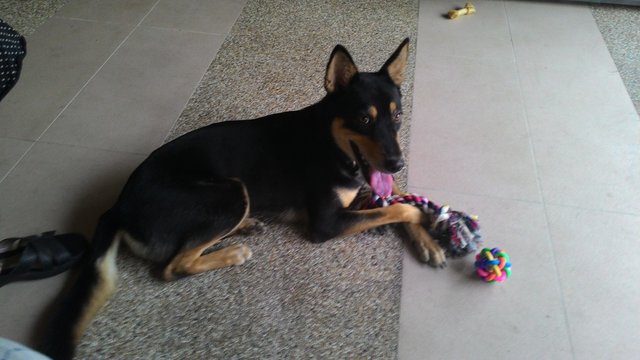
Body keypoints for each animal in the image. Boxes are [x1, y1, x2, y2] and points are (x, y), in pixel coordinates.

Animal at [43, 38, 444, 358]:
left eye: (398, 116)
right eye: (363, 120)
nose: (397, 161)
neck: (331, 141)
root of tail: (118, 205)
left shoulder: (373, 182)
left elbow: (400, 197)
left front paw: (430, 238)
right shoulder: (327, 223)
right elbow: (401, 209)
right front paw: (428, 224)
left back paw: (245, 227)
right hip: (231, 191)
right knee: (174, 266)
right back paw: (231, 251)